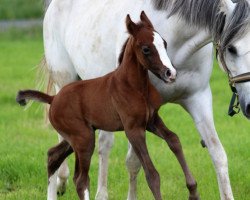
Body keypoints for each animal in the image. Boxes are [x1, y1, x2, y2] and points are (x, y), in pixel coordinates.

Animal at [16, 11, 199, 199]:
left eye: (165, 43)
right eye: (146, 49)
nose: (171, 73)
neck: (135, 87)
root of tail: (53, 98)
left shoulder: (152, 121)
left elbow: (174, 140)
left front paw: (193, 191)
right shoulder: (133, 129)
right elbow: (152, 174)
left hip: (76, 137)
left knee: (53, 156)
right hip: (83, 138)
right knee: (80, 179)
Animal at [43, 0, 250, 200]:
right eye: (231, 49)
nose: (249, 106)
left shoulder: (198, 98)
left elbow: (217, 153)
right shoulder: (134, 118)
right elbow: (135, 162)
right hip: (67, 83)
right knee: (94, 144)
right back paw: (72, 186)